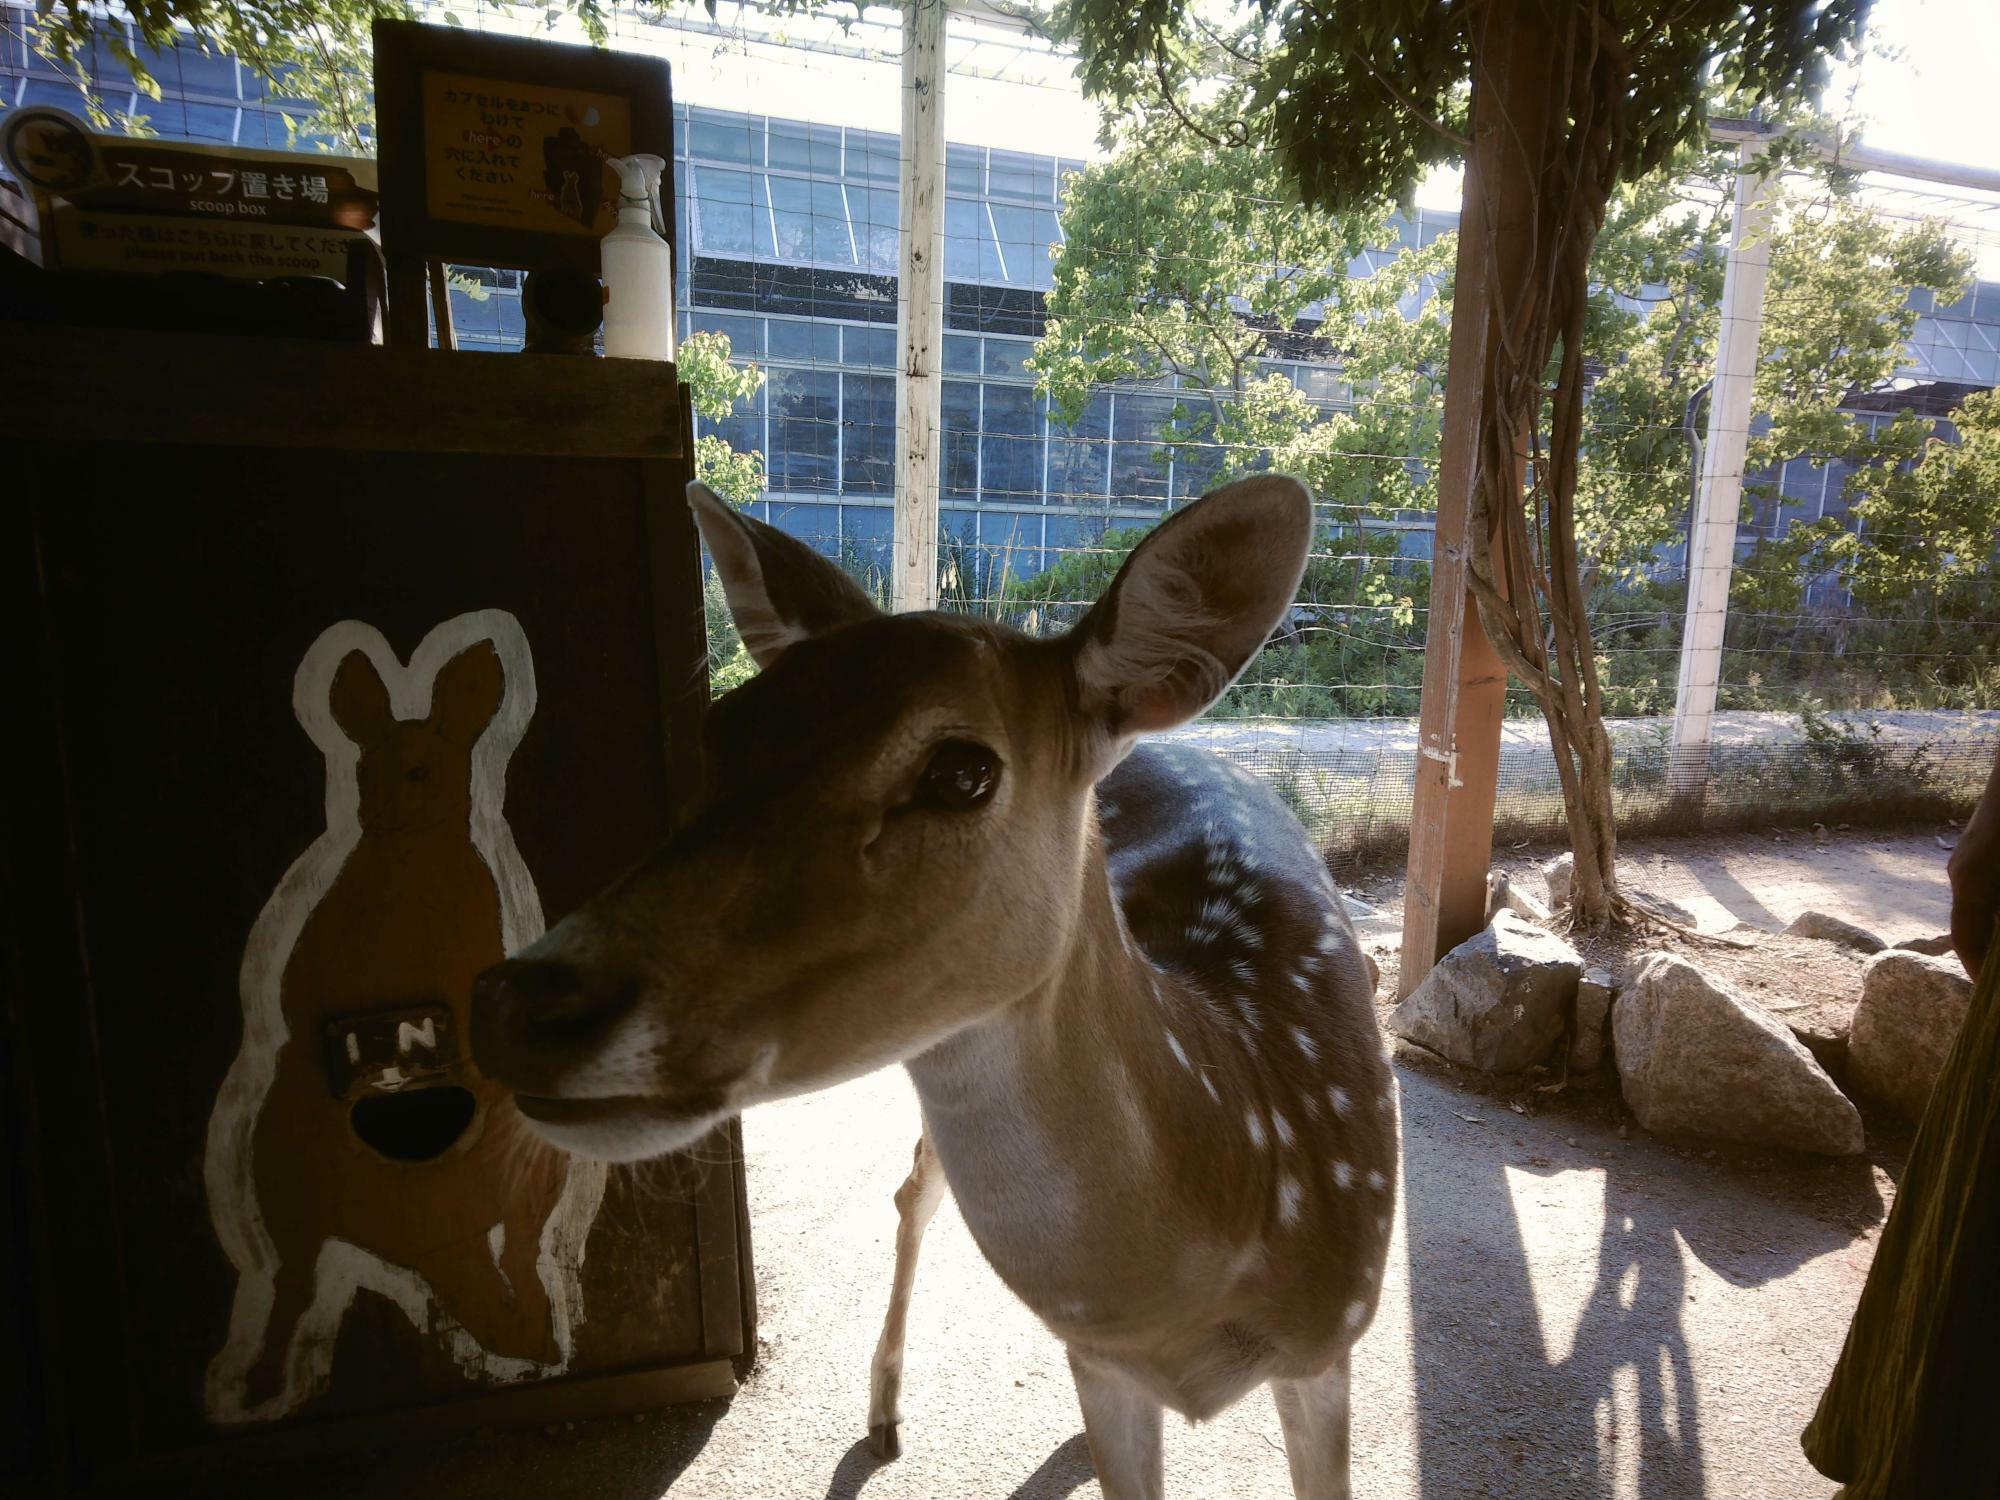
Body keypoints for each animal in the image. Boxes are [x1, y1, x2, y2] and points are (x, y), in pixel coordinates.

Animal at [470, 476, 1400, 1496]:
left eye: (963, 770)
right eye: (719, 732)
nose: (519, 1007)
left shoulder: (1331, 1346)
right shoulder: (1101, 1363)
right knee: (913, 1189)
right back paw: (881, 1415)